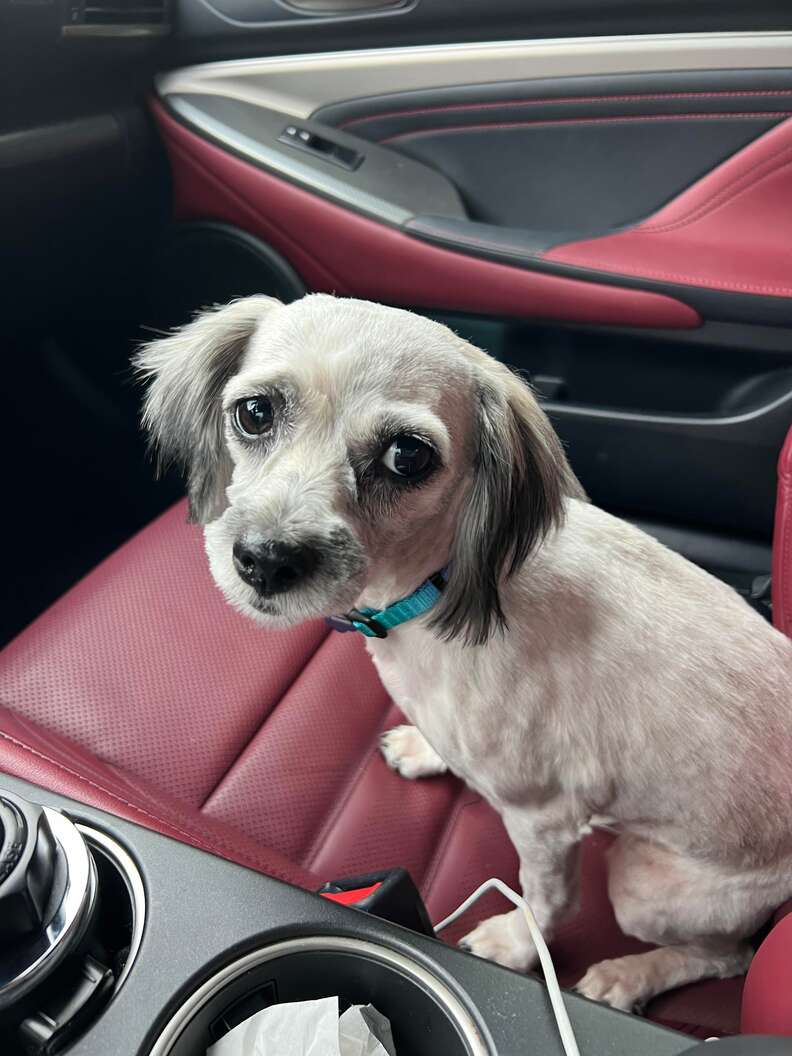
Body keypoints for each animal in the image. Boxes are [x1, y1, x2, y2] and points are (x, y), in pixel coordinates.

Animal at [135, 293, 792, 1009]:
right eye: (254, 413)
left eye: (407, 456)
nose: (266, 560)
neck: (434, 586)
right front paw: (426, 750)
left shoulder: (545, 819)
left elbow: (546, 900)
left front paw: (516, 943)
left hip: (643, 883)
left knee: (725, 956)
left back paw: (629, 975)